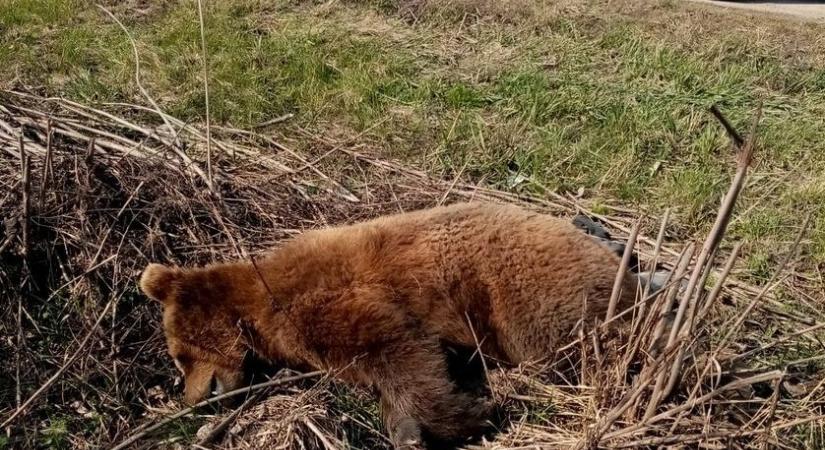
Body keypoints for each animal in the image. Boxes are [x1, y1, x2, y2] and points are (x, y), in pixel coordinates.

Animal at [138, 202, 636, 448]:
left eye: (180, 355)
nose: (192, 399)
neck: (258, 307)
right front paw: (411, 428)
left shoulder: (333, 304)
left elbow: (398, 351)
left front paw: (466, 415)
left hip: (528, 293)